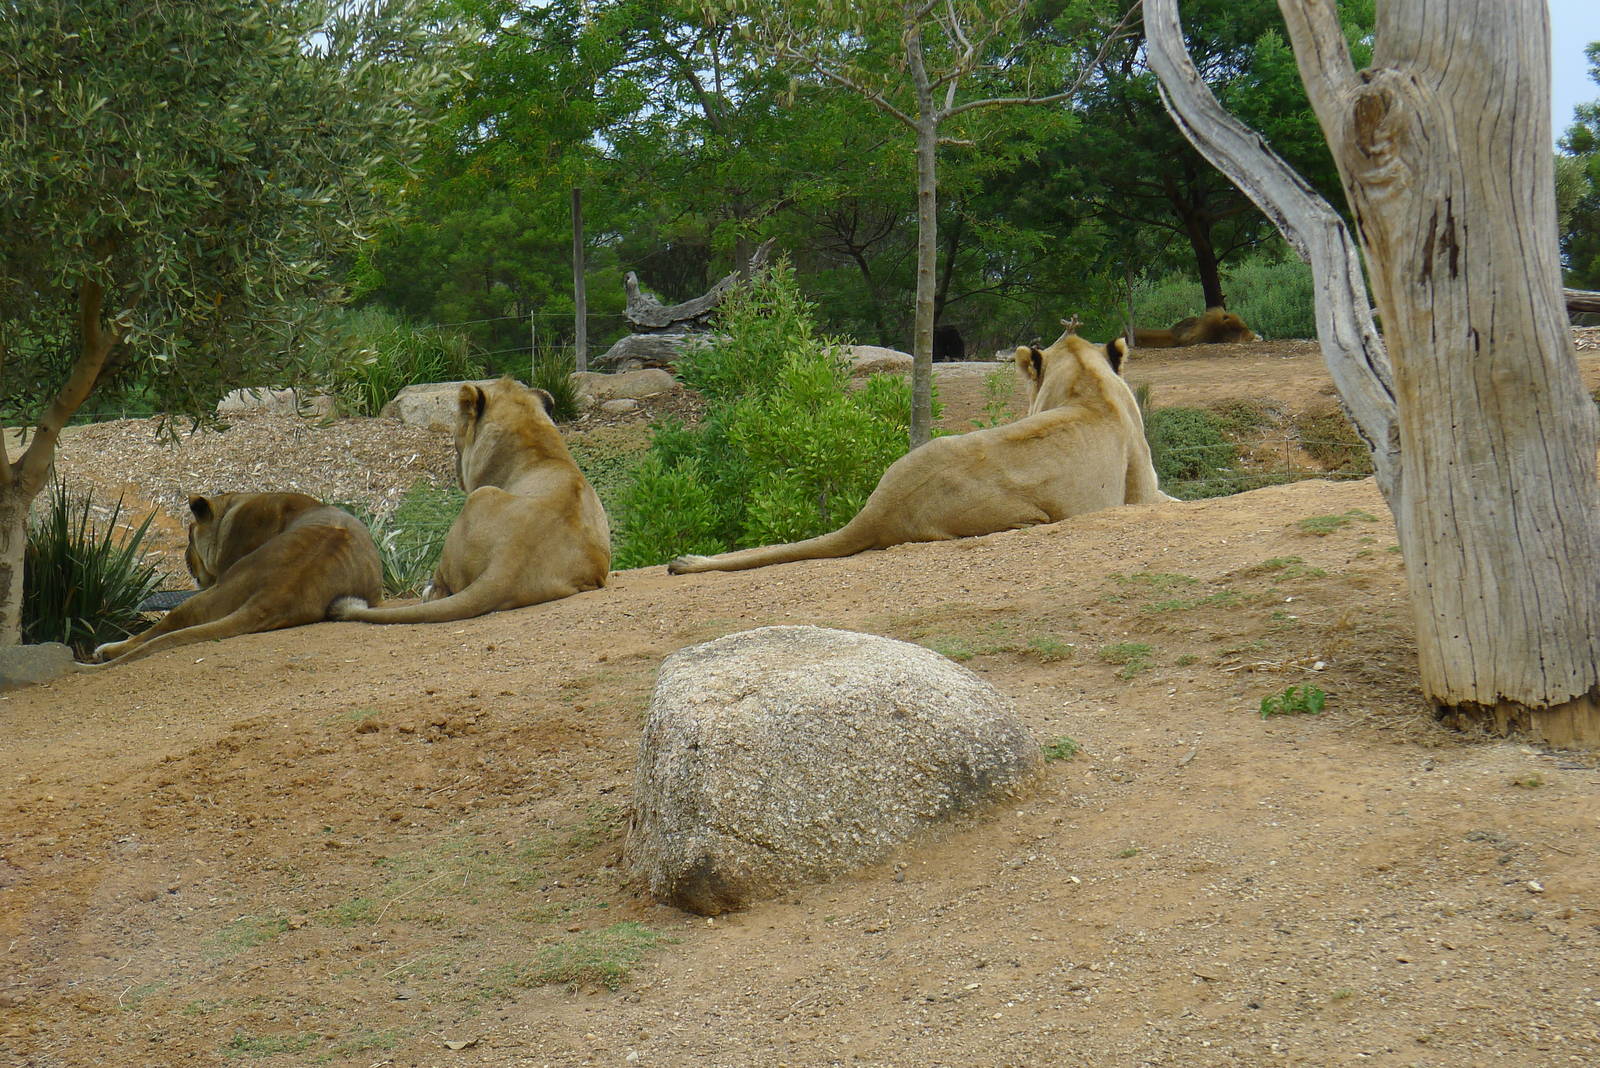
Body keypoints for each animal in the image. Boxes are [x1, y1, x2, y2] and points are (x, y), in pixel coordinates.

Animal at [91, 492, 382, 667]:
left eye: (189, 535)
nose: (185, 557)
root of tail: (280, 591)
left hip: (220, 588)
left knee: (169, 623)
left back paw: (106, 650)